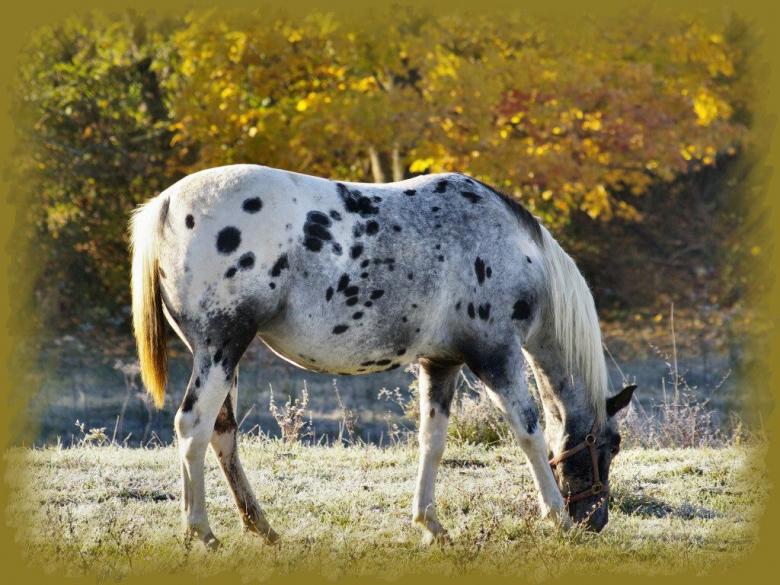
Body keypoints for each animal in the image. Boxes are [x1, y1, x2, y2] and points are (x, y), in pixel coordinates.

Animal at [131, 164, 636, 548]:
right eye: (612, 445)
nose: (596, 520)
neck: (511, 247)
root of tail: (168, 203)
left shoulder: (441, 363)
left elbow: (433, 441)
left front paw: (431, 525)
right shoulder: (496, 355)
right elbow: (529, 433)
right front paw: (557, 517)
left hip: (223, 357)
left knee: (222, 435)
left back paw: (261, 528)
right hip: (221, 349)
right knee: (193, 429)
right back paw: (202, 532)